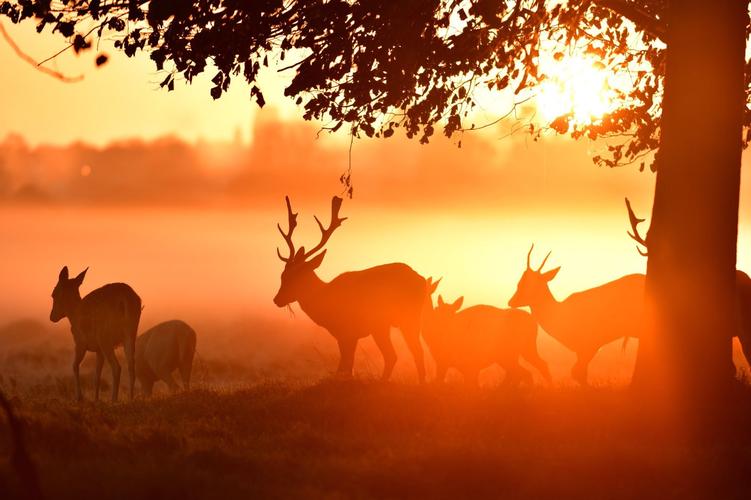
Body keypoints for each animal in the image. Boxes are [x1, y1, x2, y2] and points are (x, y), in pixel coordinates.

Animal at [49, 267, 142, 401]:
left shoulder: (80, 343)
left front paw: (80, 397)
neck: (74, 314)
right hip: (130, 334)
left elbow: (75, 365)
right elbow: (96, 375)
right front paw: (96, 399)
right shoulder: (98, 350)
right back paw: (130, 398)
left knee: (117, 367)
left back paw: (114, 400)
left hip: (105, 338)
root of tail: (124, 300)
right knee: (131, 366)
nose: (52, 317)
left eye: (54, 294)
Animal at [273, 195, 427, 382]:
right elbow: (346, 366)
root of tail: (422, 280)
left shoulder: (346, 332)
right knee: (413, 352)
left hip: (393, 321)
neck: (325, 302)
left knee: (396, 355)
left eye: (296, 278)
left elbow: (345, 366)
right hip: (403, 321)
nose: (277, 299)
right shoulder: (349, 335)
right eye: (282, 275)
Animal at [422, 278, 551, 385]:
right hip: (523, 349)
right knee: (532, 368)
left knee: (524, 372)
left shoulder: (465, 365)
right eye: (437, 309)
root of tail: (533, 322)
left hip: (511, 352)